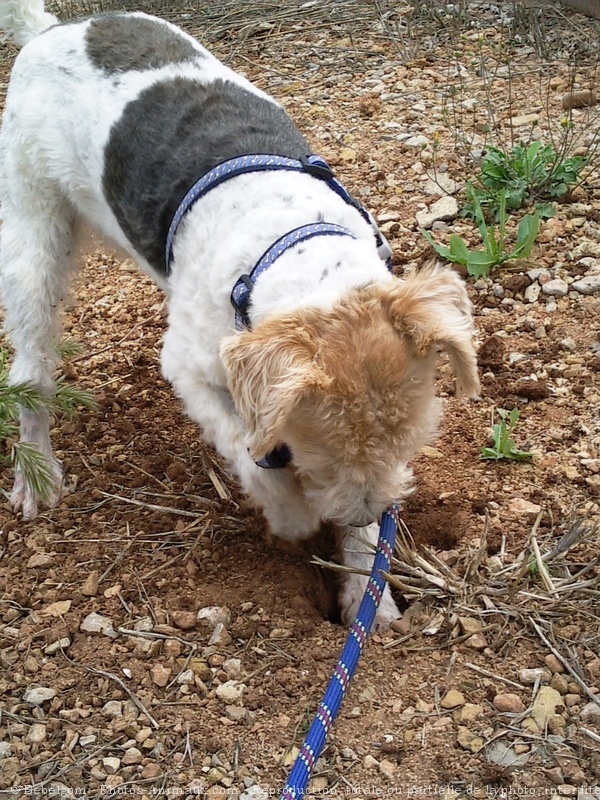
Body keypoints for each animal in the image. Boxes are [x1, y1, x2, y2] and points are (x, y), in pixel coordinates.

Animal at [0, 0, 478, 628]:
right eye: (321, 453)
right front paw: (295, 521)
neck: (293, 249)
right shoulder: (189, 369)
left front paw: (365, 596)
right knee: (31, 370)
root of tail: (48, 29)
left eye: (409, 442)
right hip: (35, 237)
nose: (357, 514)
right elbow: (253, 462)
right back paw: (37, 476)